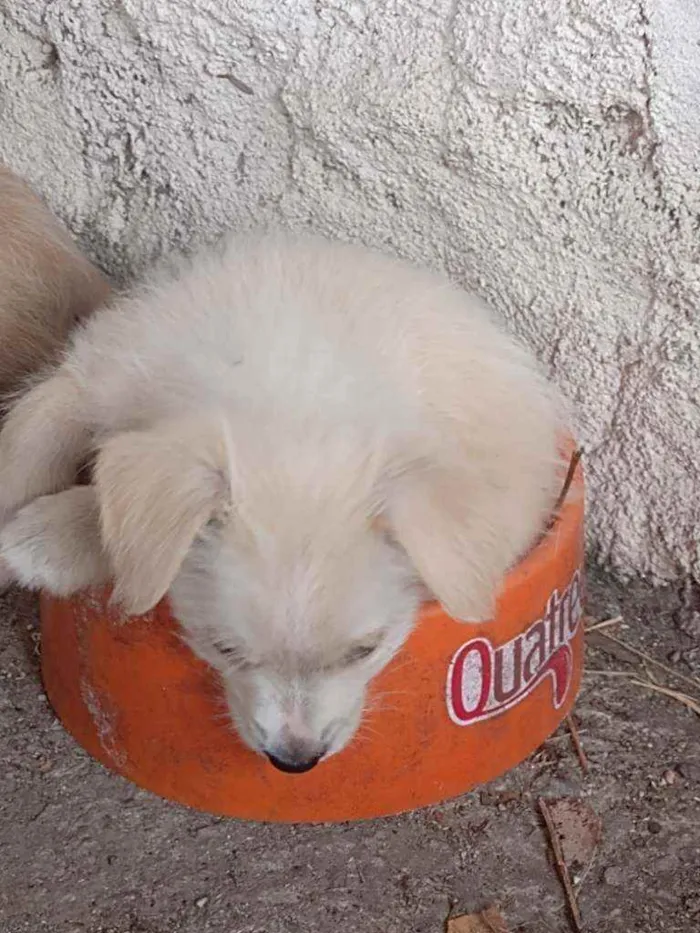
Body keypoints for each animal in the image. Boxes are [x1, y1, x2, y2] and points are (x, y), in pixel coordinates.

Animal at [0, 229, 568, 768]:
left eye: (365, 651)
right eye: (225, 648)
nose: (295, 761)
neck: (295, 389)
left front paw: (45, 538)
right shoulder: (92, 375)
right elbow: (27, 446)